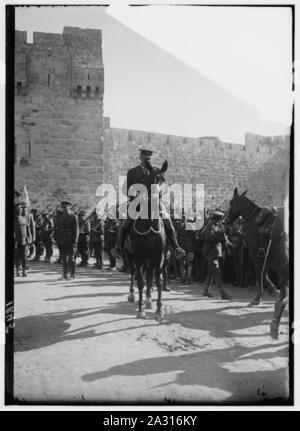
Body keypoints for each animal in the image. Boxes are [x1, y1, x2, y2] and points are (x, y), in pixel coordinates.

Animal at [126, 160, 169, 318]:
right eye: (150, 180)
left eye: (163, 180)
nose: (156, 200)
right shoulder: (139, 256)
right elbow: (140, 281)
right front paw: (140, 310)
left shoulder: (158, 256)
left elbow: (158, 280)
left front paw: (158, 310)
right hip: (130, 255)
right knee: (134, 273)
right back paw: (132, 295)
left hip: (150, 258)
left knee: (149, 276)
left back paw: (149, 300)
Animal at [226, 189, 290, 340]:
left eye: (231, 202)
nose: (226, 220)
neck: (252, 218)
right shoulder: (268, 254)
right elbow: (264, 273)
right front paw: (274, 290)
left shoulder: (255, 253)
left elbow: (260, 273)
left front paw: (258, 297)